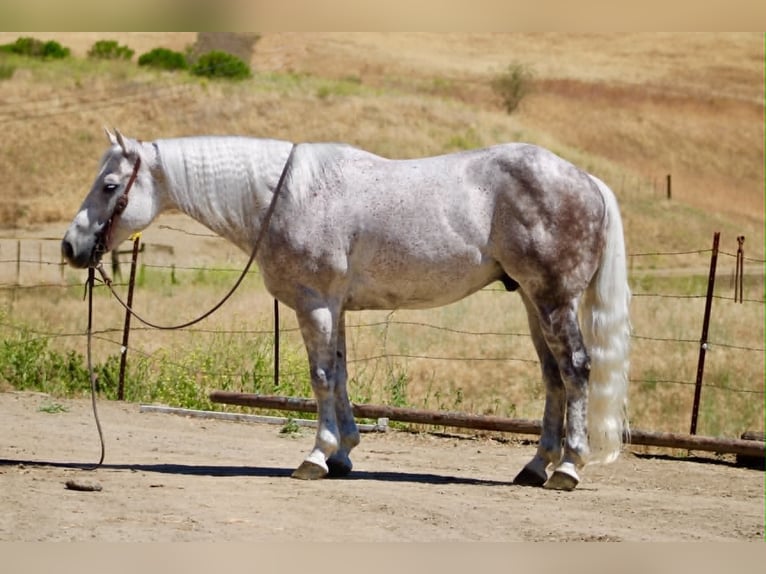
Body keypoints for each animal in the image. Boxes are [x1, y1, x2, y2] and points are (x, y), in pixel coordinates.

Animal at [62, 129, 630, 490]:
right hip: (534, 301)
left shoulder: (314, 303)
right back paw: (535, 467)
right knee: (553, 376)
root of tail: (587, 180)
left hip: (554, 300)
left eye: (110, 186)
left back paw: (568, 469)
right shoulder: (333, 307)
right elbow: (338, 373)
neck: (287, 196)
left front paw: (316, 456)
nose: (71, 246)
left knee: (576, 370)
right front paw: (343, 453)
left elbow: (319, 378)